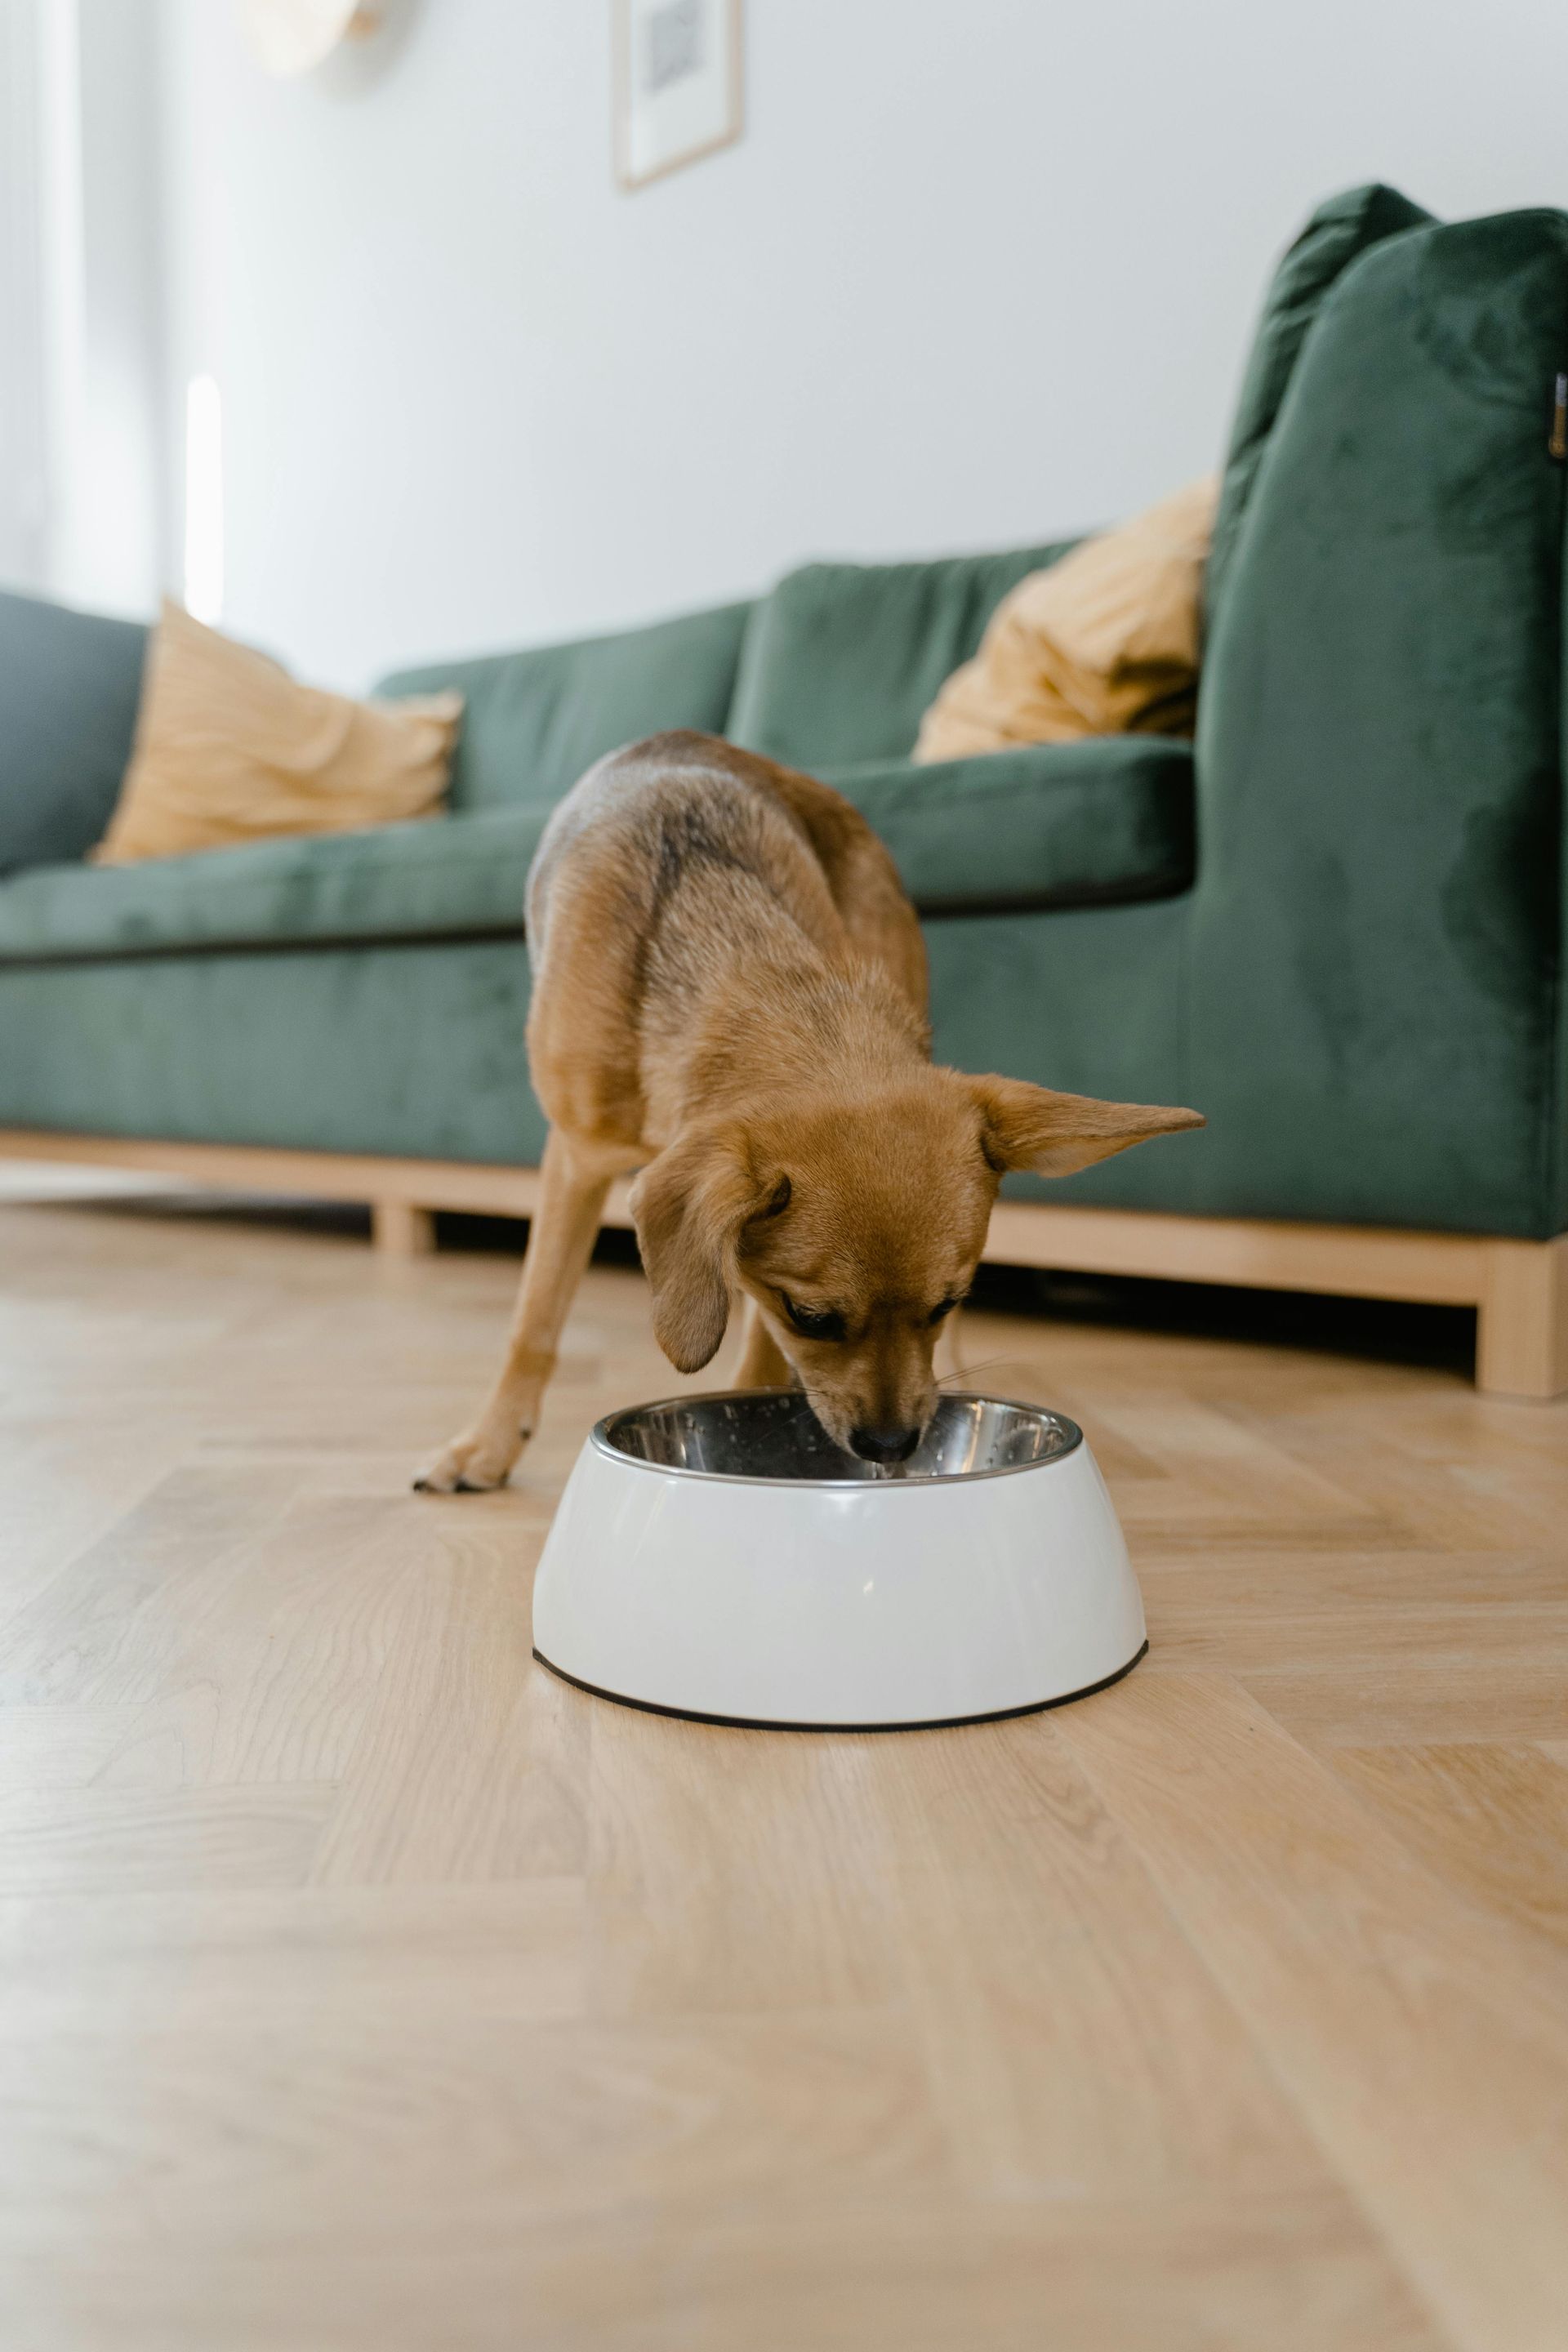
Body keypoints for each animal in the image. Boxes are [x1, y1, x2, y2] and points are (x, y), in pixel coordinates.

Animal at [416, 733, 1203, 1486]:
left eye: (946, 1303)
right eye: (812, 1317)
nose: (891, 1445)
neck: (739, 961)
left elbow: (757, 1359)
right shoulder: (575, 1160)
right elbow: (534, 1322)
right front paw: (488, 1443)